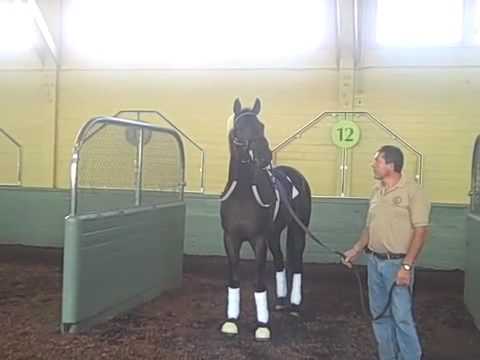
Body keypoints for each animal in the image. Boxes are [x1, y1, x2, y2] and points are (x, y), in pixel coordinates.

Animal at [220, 98, 312, 340]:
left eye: (261, 126)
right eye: (239, 128)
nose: (264, 157)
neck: (243, 194)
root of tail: (296, 175)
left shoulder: (258, 240)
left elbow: (259, 282)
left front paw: (262, 326)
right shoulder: (230, 239)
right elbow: (234, 279)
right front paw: (231, 321)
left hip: (297, 230)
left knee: (297, 264)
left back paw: (295, 306)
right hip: (274, 234)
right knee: (280, 260)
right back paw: (280, 301)